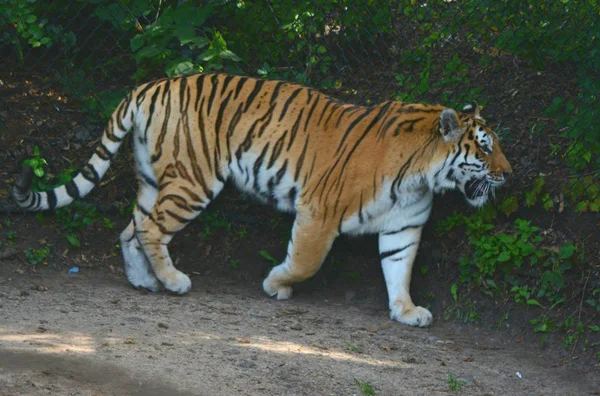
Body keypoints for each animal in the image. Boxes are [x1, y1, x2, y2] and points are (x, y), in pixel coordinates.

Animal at [11, 72, 512, 326]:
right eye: (486, 148)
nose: (509, 175)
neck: (423, 177)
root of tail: (149, 86)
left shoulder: (404, 226)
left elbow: (399, 269)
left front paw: (406, 311)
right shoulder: (319, 212)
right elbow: (306, 261)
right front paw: (276, 285)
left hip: (155, 179)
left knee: (130, 228)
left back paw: (144, 282)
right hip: (193, 181)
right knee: (151, 228)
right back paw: (173, 282)